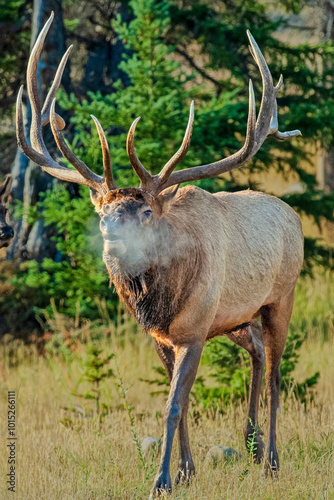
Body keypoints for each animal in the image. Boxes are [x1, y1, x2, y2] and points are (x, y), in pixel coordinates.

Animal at [17, 13, 302, 498]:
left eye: (147, 211)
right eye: (102, 210)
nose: (111, 233)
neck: (161, 303)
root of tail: (294, 216)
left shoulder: (194, 332)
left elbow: (172, 406)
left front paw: (163, 479)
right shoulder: (161, 336)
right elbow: (180, 403)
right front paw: (187, 471)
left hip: (280, 297)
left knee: (278, 374)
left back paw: (273, 462)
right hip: (235, 318)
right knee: (259, 353)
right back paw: (252, 445)